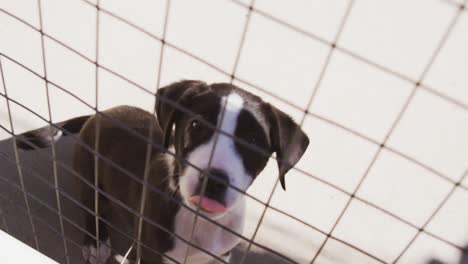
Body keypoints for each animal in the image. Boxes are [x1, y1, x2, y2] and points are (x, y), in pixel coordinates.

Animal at [16, 81, 310, 264]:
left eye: (253, 140)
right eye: (195, 125)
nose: (213, 181)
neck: (199, 221)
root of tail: (99, 114)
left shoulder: (221, 256)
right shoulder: (150, 255)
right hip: (89, 174)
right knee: (93, 208)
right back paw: (96, 242)